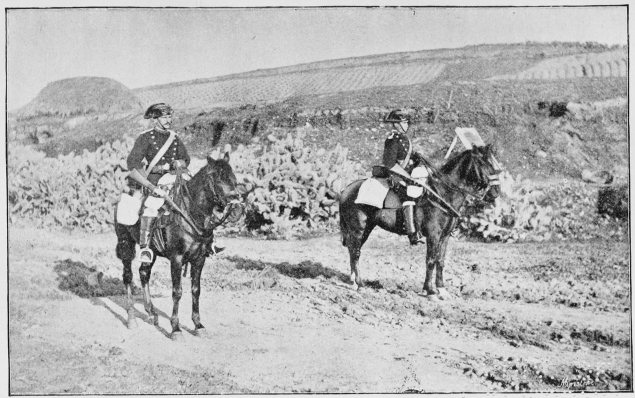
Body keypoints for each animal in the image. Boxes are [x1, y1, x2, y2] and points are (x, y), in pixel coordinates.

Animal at [114, 152, 243, 338]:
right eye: (219, 179)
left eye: (234, 178)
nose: (238, 209)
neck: (191, 213)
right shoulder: (176, 259)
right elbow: (177, 292)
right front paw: (175, 328)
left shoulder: (199, 260)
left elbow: (196, 290)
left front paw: (198, 325)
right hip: (125, 244)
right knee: (128, 276)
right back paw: (131, 318)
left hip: (151, 251)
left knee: (144, 273)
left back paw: (151, 313)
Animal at [340, 145, 504, 300]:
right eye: (483, 163)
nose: (496, 192)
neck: (443, 194)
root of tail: (347, 189)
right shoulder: (433, 235)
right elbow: (431, 260)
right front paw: (430, 291)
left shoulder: (444, 236)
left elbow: (440, 261)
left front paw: (441, 289)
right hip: (358, 228)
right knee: (355, 252)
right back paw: (360, 284)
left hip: (367, 228)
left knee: (353, 250)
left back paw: (353, 281)